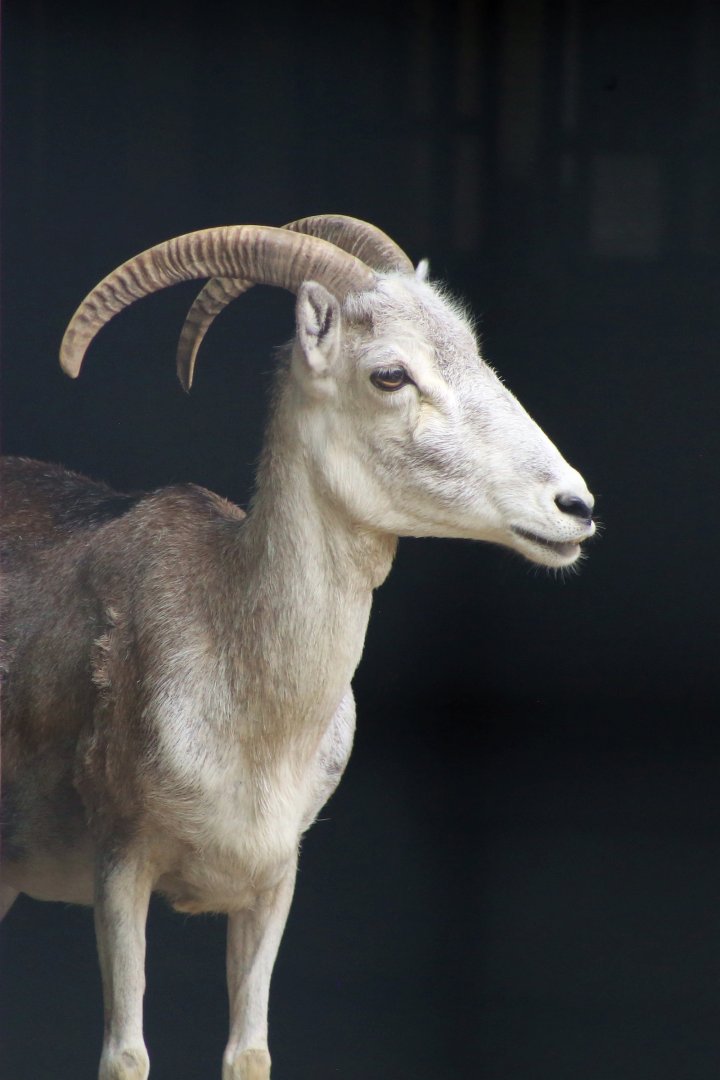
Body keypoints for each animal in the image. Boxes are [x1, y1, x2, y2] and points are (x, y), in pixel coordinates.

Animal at [0, 215, 595, 1080]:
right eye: (390, 374)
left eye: (475, 352)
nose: (572, 506)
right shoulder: (120, 869)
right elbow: (127, 1055)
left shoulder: (272, 886)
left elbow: (249, 1051)